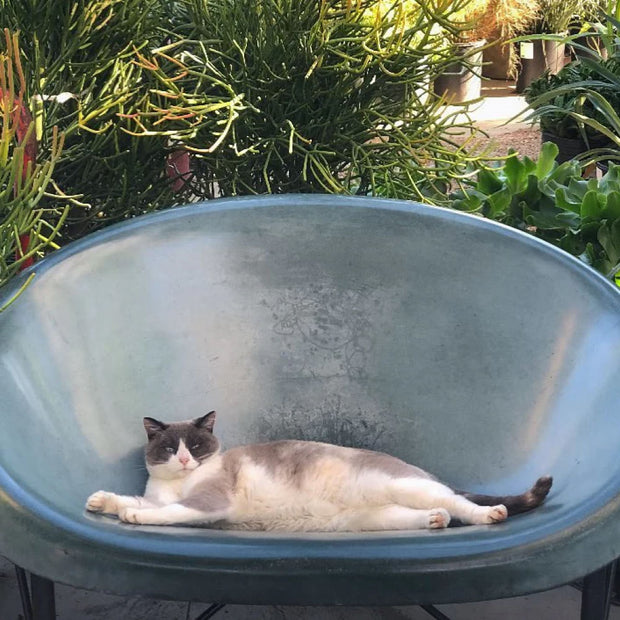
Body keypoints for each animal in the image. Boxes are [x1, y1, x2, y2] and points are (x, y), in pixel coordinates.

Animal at [86, 412, 552, 532]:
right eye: (169, 448)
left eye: (196, 446)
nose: (184, 459)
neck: (178, 482)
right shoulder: (155, 493)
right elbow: (131, 500)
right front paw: (103, 502)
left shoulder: (208, 504)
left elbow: (165, 512)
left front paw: (133, 516)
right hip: (375, 520)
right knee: (436, 514)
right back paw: (434, 522)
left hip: (409, 486)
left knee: (460, 504)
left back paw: (489, 514)